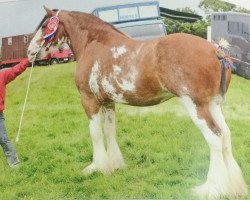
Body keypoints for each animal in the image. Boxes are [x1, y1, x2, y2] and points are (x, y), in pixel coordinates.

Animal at [27, 6, 248, 198]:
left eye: (45, 26)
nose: (30, 51)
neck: (94, 45)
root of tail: (217, 51)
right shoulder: (108, 102)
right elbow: (109, 132)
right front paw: (115, 164)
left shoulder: (89, 100)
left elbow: (96, 134)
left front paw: (97, 167)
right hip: (213, 104)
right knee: (226, 135)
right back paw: (233, 187)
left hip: (196, 105)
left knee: (215, 138)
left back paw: (211, 189)